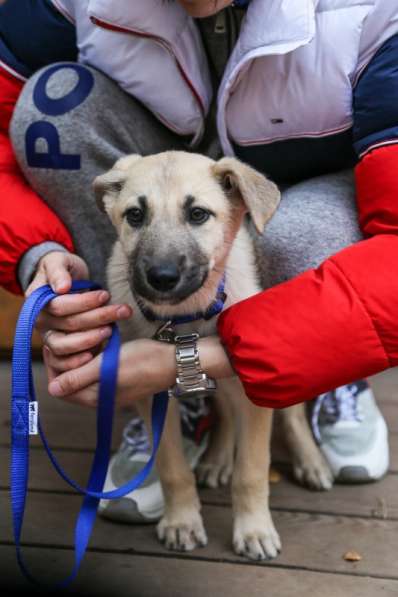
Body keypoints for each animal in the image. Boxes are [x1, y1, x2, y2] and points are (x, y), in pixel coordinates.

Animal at [94, 149, 332, 560]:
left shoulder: (253, 392)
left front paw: (254, 530)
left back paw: (310, 461)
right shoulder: (151, 396)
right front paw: (182, 521)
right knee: (223, 413)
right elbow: (172, 468)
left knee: (292, 414)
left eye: (198, 214)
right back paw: (217, 459)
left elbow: (251, 471)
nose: (161, 277)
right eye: (135, 215)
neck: (185, 318)